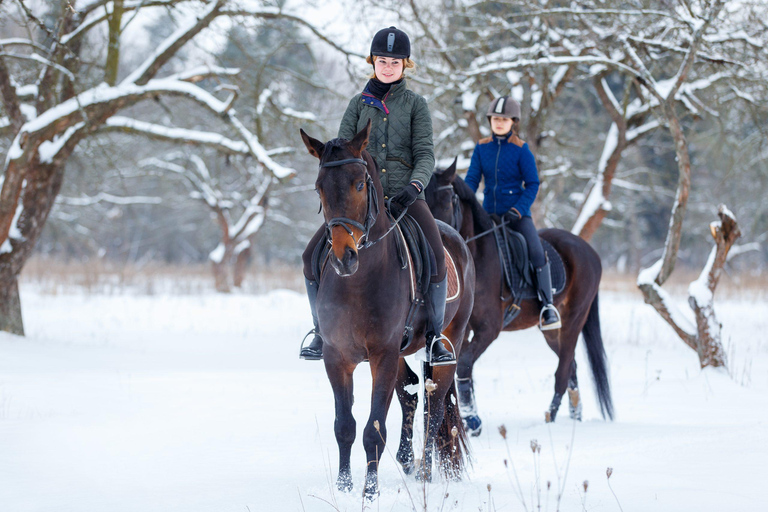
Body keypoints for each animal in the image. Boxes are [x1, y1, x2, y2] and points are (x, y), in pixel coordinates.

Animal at [298, 122, 474, 498]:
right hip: (401, 352)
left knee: (435, 408)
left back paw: (425, 472)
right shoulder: (337, 357)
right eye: (320, 187)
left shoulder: (382, 354)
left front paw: (369, 491)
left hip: (446, 344)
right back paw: (408, 461)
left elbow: (373, 429)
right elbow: (344, 426)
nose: (343, 258)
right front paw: (344, 486)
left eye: (360, 183)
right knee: (410, 394)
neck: (359, 282)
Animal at [426, 161, 612, 432]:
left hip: (573, 321)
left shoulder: (488, 329)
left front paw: (472, 419)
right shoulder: (462, 329)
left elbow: (464, 365)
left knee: (563, 369)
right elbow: (464, 368)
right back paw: (574, 415)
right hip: (552, 332)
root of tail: (590, 251)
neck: (477, 256)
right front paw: (471, 418)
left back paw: (550, 417)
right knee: (571, 365)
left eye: (449, 201)